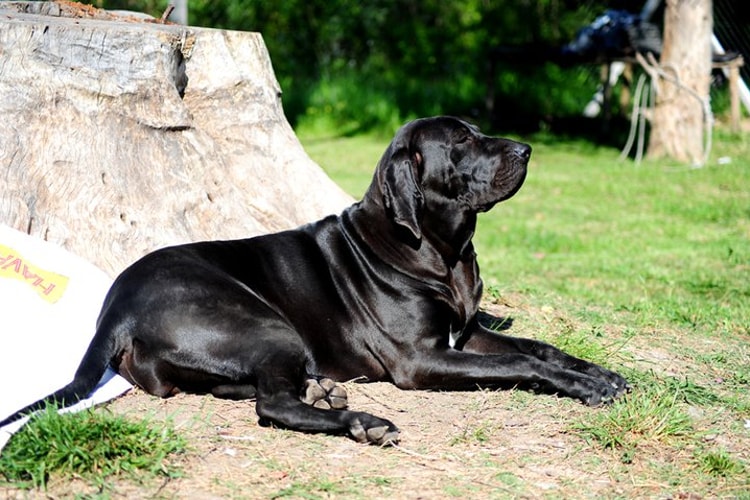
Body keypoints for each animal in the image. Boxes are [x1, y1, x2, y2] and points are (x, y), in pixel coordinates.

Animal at [2, 118, 632, 446]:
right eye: (460, 142)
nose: (526, 149)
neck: (440, 250)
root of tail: (116, 305)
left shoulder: (466, 333)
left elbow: (540, 347)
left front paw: (598, 373)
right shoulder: (421, 359)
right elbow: (521, 362)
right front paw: (587, 387)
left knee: (254, 389)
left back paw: (325, 391)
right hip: (264, 323)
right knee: (273, 404)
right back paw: (361, 421)